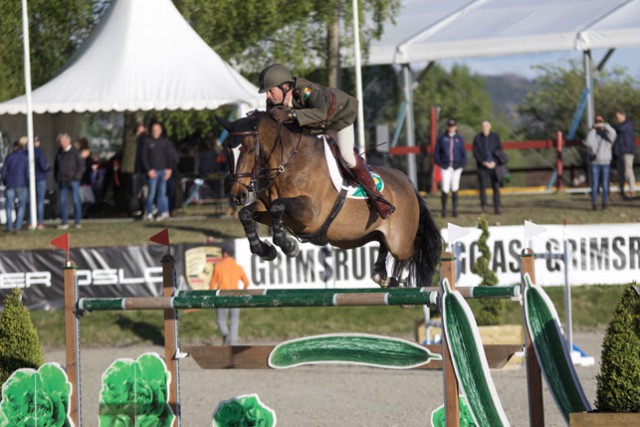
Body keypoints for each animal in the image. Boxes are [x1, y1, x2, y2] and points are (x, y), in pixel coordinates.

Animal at [215, 112, 440, 290]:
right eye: (227, 150)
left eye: (250, 149)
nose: (238, 195)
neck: (285, 163)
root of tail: (409, 184)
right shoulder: (266, 208)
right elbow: (247, 213)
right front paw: (265, 250)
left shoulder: (310, 213)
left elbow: (278, 208)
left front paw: (288, 245)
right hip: (372, 234)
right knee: (382, 245)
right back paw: (382, 276)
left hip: (399, 241)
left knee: (411, 252)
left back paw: (402, 281)